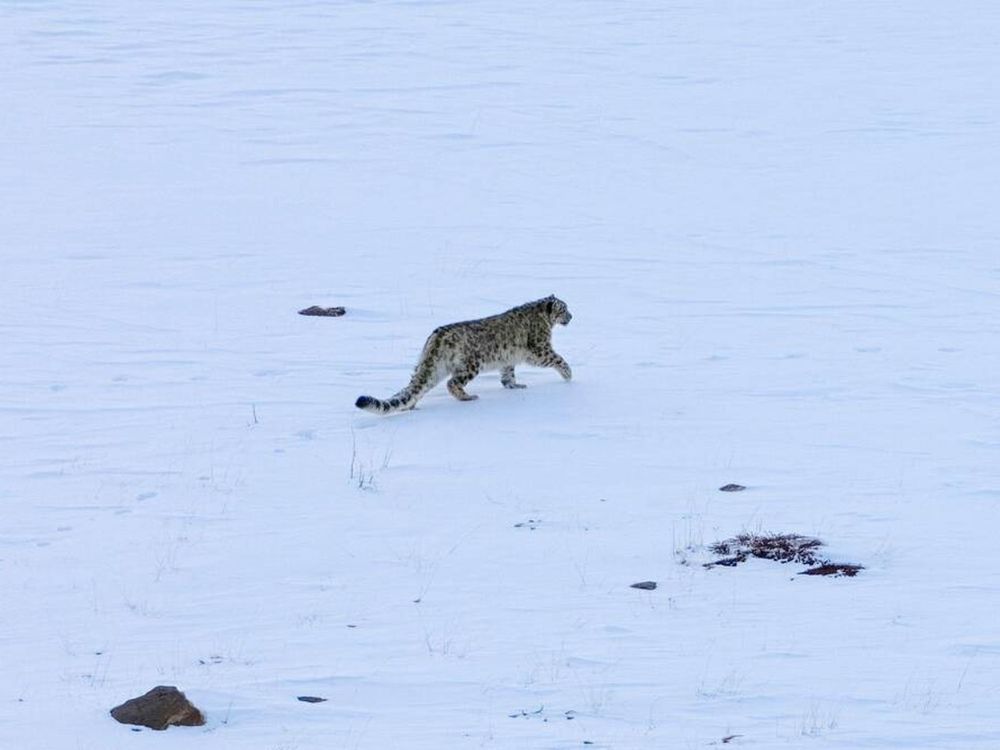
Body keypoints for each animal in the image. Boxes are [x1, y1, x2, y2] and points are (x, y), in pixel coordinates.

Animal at [355, 295, 572, 415]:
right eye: (563, 309)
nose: (571, 316)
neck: (545, 321)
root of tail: (436, 337)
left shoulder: (508, 360)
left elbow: (508, 374)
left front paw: (514, 386)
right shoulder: (540, 349)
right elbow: (557, 358)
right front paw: (569, 375)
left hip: (434, 369)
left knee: (415, 389)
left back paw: (410, 407)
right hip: (471, 365)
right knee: (452, 383)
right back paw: (468, 397)